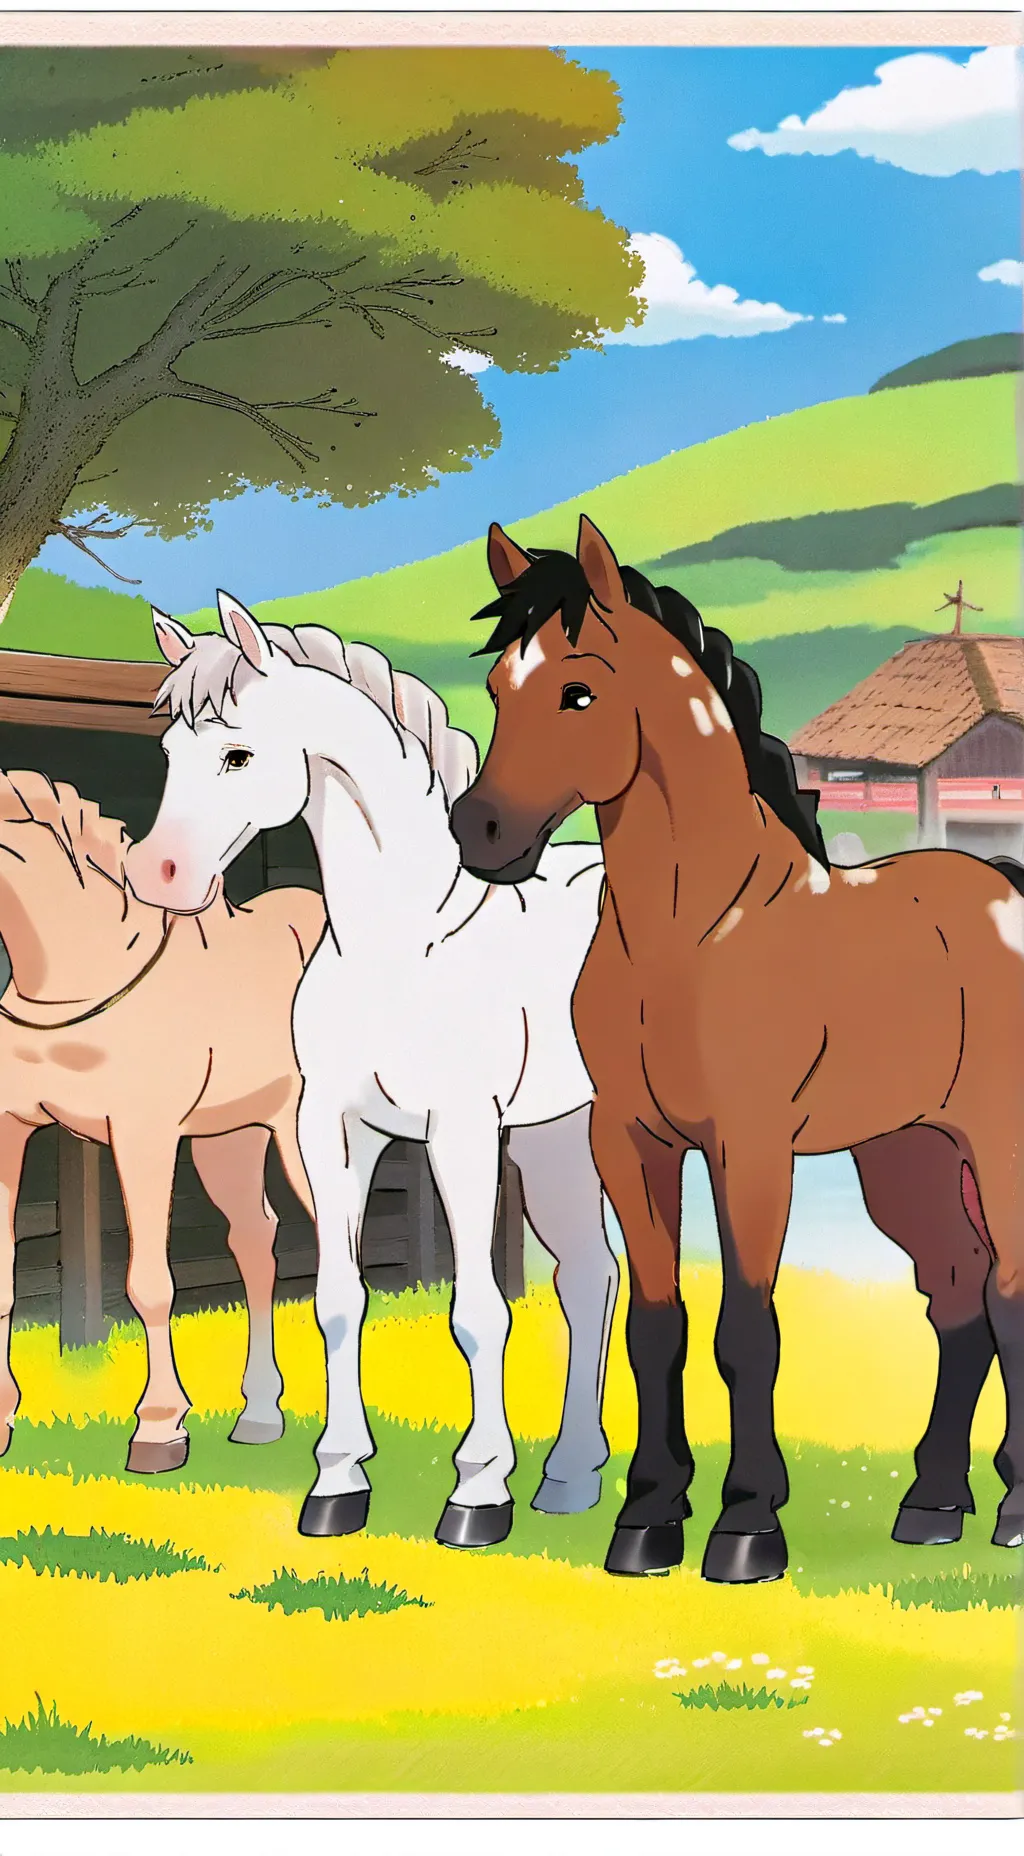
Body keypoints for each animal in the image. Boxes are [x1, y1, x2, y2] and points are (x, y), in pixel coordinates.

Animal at [0, 766, 323, 1471]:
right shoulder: (10, 1129)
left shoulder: (143, 1135)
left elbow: (151, 1282)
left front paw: (159, 1430)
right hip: (231, 1139)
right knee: (256, 1243)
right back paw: (260, 1416)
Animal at [123, 595, 620, 1549]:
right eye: (166, 753)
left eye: (238, 754)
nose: (158, 875)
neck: (403, 942)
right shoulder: (334, 1131)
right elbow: (338, 1299)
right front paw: (337, 1483)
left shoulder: (462, 1134)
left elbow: (478, 1311)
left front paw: (478, 1493)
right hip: (556, 1132)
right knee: (589, 1276)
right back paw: (571, 1477)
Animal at [450, 514, 1024, 1580]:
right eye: (501, 687)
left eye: (579, 691)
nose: (482, 832)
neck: (690, 936)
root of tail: (1004, 889)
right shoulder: (631, 1144)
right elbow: (657, 1325)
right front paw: (646, 1520)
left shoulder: (750, 1153)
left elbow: (747, 1332)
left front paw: (748, 1526)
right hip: (909, 1156)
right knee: (958, 1300)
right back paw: (931, 1506)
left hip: (995, 1148)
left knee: (1006, 1292)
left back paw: (1010, 1511)